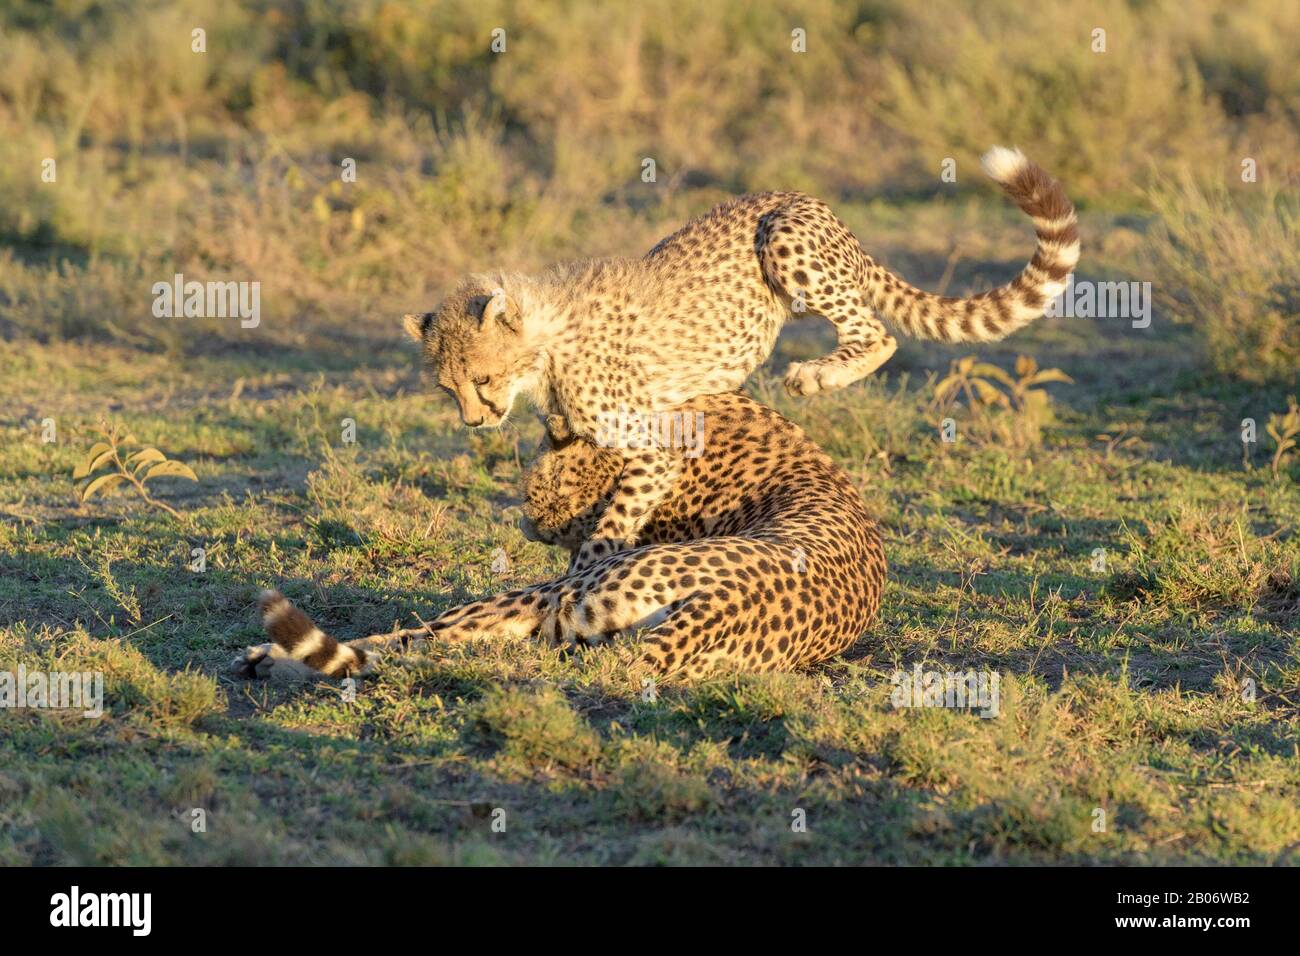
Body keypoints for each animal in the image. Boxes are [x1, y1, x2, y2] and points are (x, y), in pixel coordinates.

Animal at [231, 390, 883, 681]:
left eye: (541, 502)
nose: (531, 527)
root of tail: (720, 605)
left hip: (552, 596)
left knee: (419, 640)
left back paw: (271, 657)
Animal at [408, 147, 1076, 574]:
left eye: (483, 378)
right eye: (448, 390)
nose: (474, 421)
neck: (544, 347)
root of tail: (801, 196)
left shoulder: (657, 443)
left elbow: (614, 520)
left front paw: (584, 575)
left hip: (784, 238)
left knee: (879, 336)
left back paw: (816, 376)